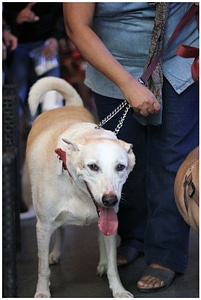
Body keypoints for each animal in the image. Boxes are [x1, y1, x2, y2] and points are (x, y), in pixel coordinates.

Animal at [25, 77, 135, 298]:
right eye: (93, 166)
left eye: (120, 167)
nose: (110, 200)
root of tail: (66, 107)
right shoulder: (43, 226)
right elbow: (43, 268)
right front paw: (42, 292)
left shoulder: (110, 222)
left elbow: (113, 265)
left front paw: (118, 290)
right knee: (60, 232)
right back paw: (55, 253)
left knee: (99, 236)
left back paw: (101, 262)